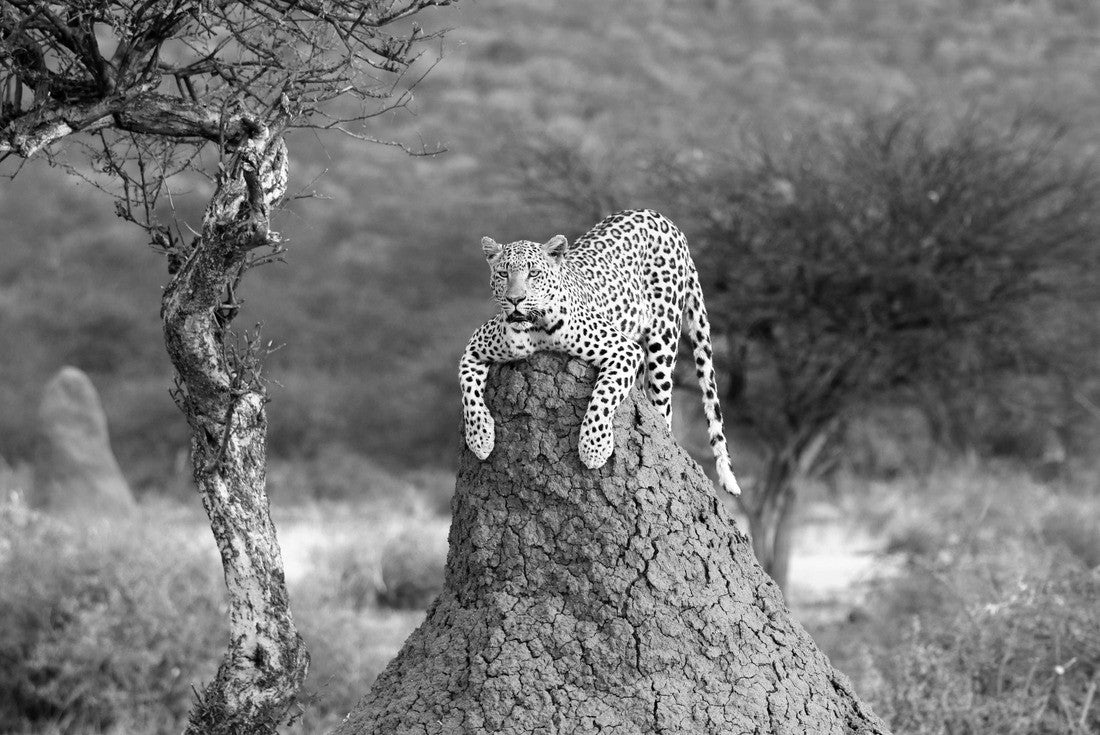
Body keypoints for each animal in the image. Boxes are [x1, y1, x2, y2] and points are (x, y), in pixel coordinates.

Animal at [460, 208, 741, 495]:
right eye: (503, 273)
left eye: (534, 273)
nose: (515, 299)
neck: (534, 328)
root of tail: (663, 218)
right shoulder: (474, 348)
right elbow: (468, 392)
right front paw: (480, 438)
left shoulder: (624, 350)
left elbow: (603, 396)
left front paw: (593, 448)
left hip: (664, 338)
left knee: (664, 407)